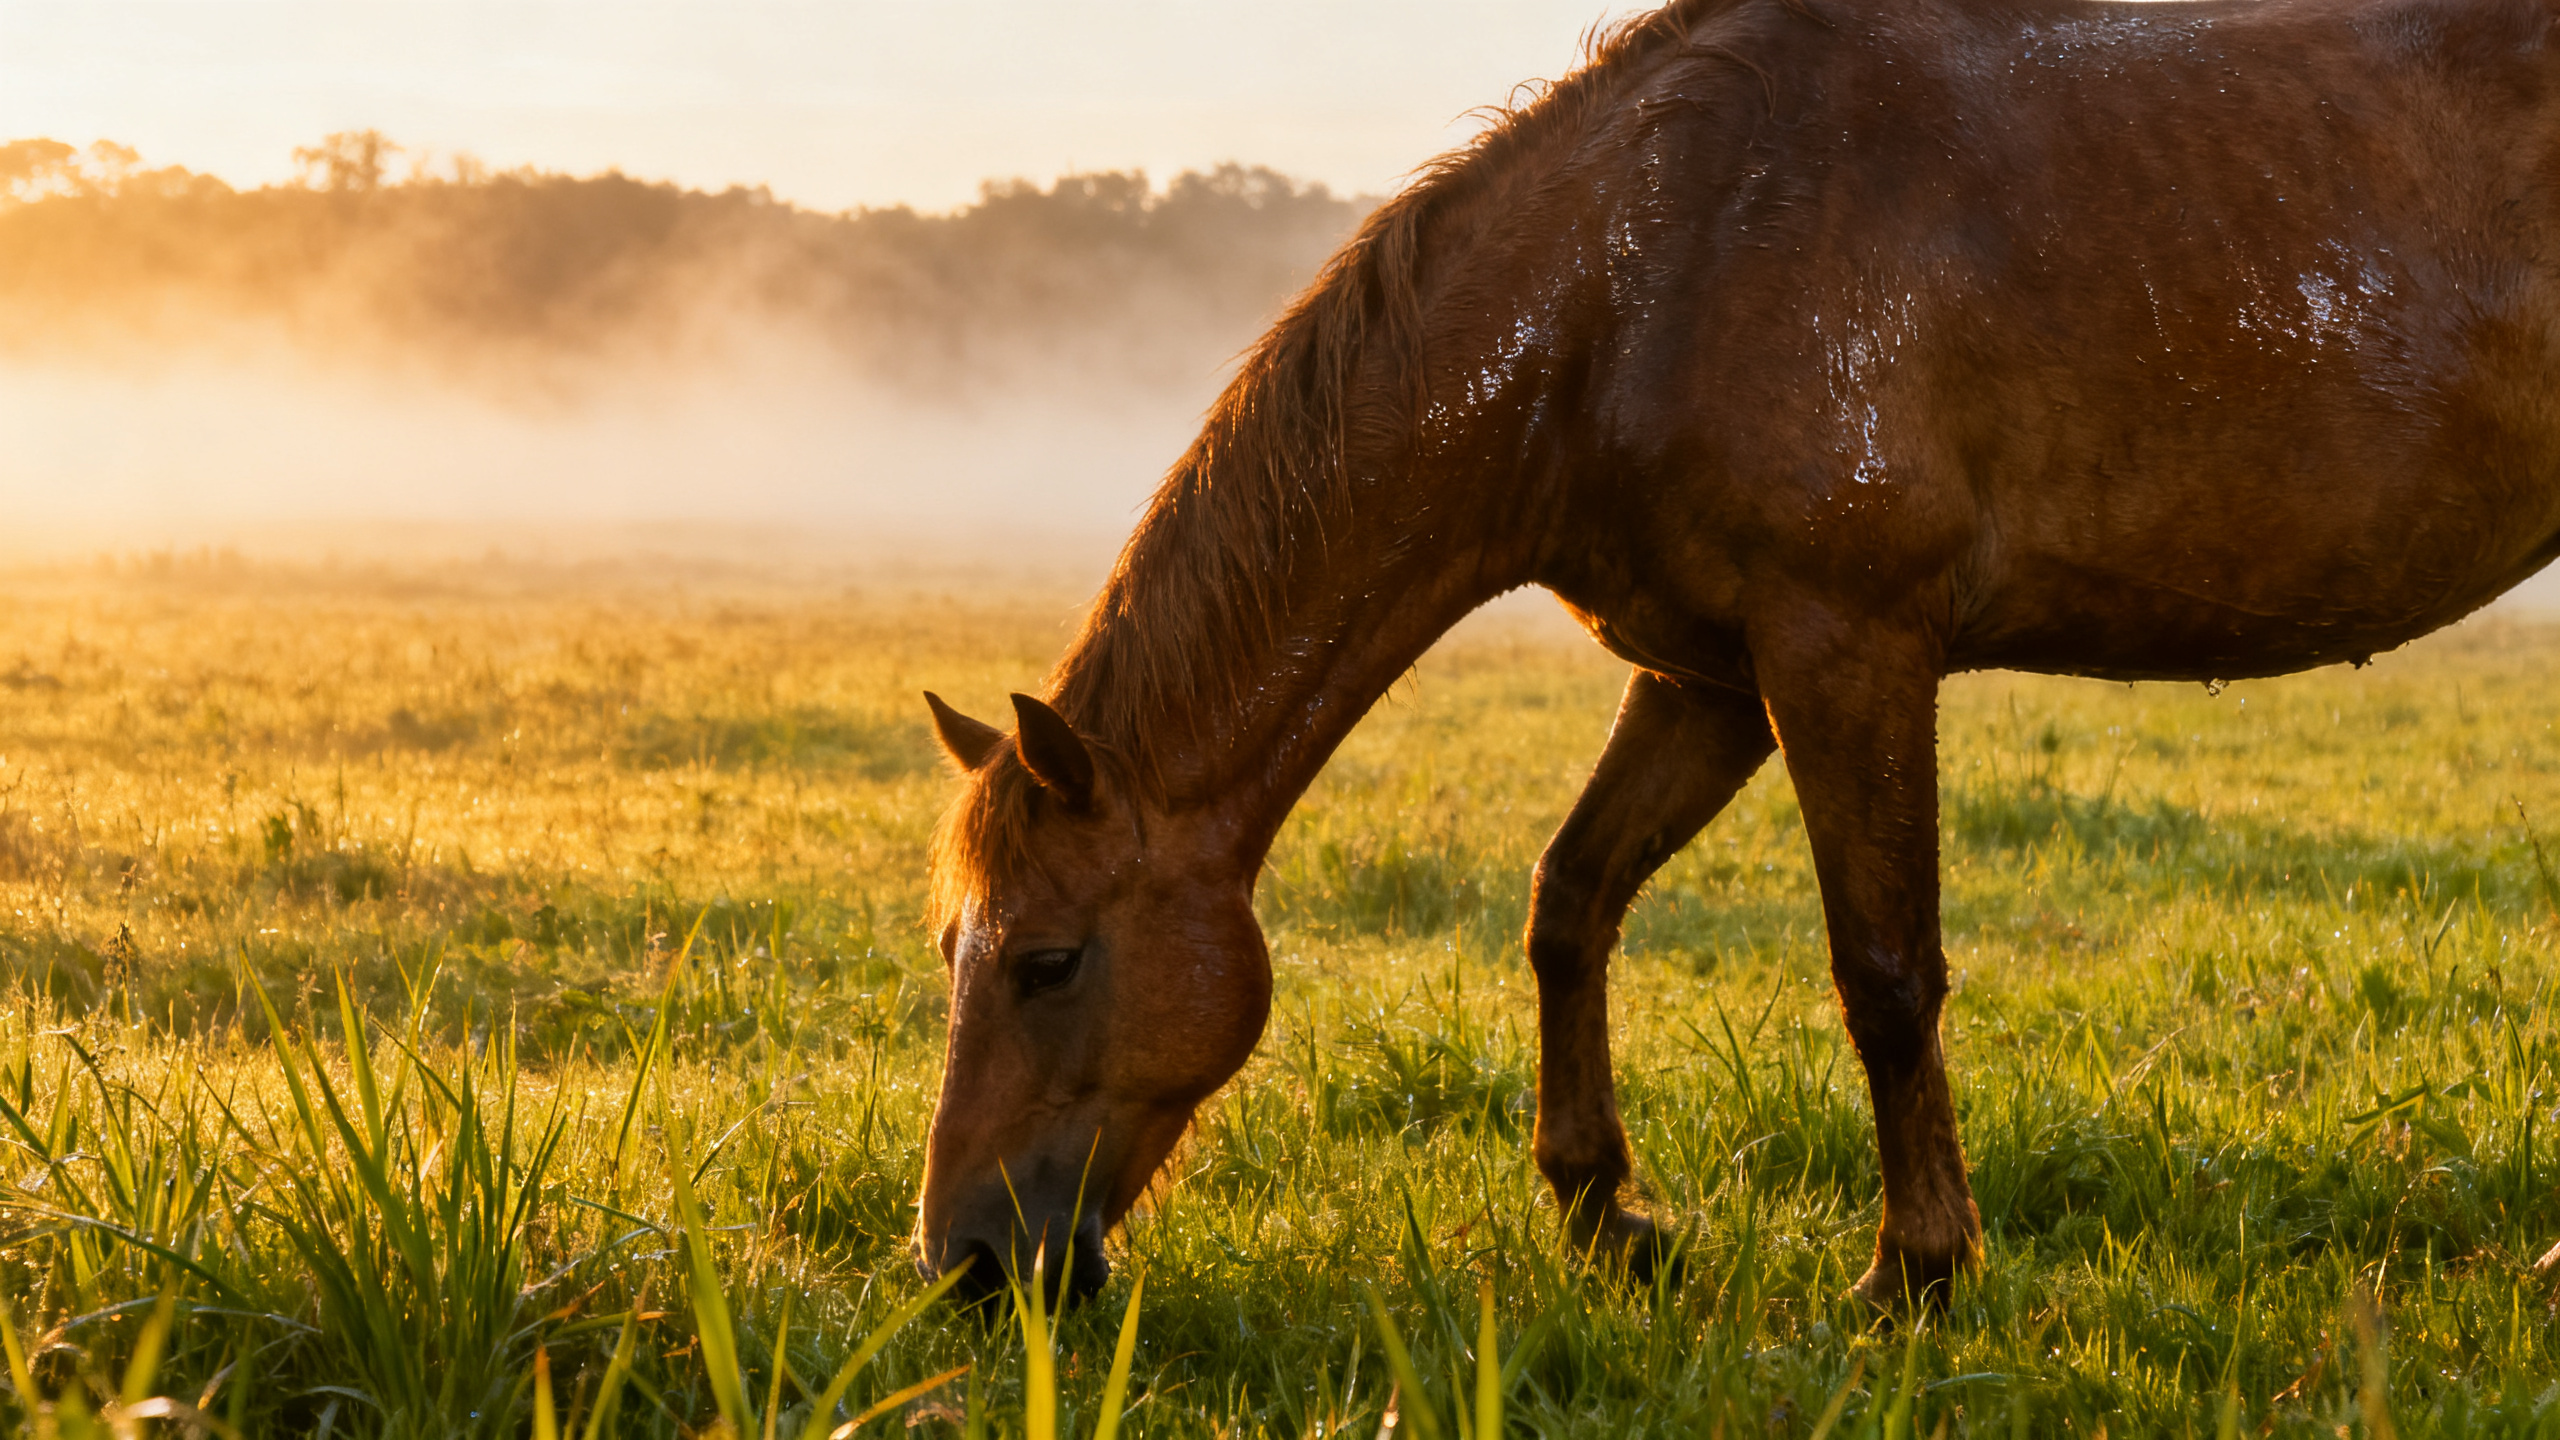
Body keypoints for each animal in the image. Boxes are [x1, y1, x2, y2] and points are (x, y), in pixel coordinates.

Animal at [913, 0, 2560, 1308]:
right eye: (953, 952)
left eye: (1050, 962)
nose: (967, 1263)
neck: (1648, 269)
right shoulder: (1708, 679)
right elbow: (1570, 901)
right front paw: (1603, 1208)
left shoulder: (1845, 649)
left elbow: (1883, 972)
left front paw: (1917, 1272)